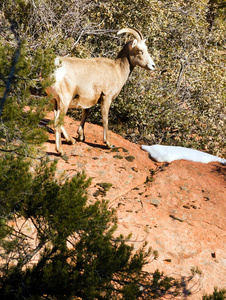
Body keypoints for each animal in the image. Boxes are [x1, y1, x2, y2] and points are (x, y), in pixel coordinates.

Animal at [46, 27, 155, 156]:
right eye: (141, 51)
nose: (153, 66)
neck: (117, 70)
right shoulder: (106, 98)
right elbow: (105, 120)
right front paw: (108, 144)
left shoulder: (88, 101)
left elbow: (85, 114)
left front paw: (81, 136)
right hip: (64, 101)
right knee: (58, 122)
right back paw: (61, 151)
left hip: (54, 101)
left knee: (56, 119)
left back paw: (71, 141)